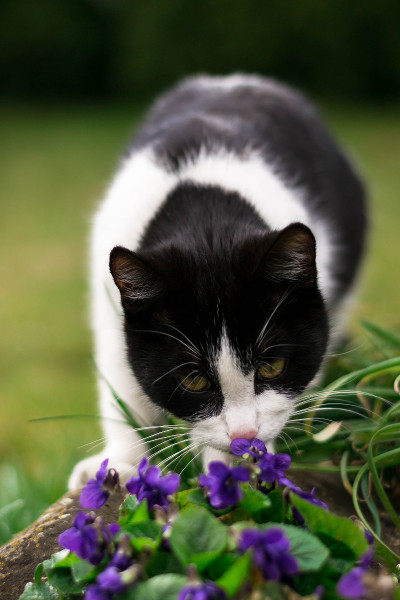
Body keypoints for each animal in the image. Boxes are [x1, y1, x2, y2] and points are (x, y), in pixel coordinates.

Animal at [68, 74, 366, 488]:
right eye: (194, 381)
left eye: (272, 367)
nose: (245, 436)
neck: (205, 218)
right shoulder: (107, 294)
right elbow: (121, 380)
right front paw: (121, 460)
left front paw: (237, 465)